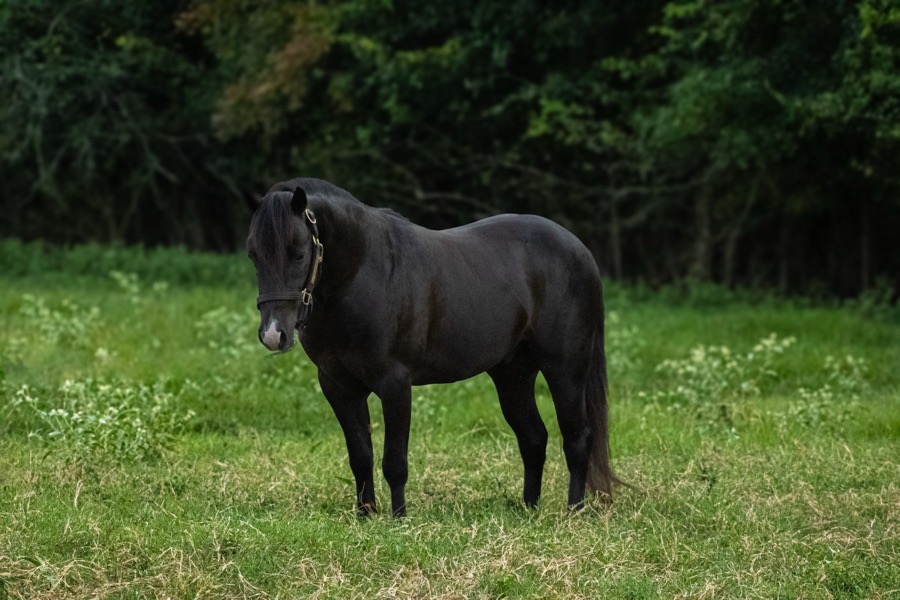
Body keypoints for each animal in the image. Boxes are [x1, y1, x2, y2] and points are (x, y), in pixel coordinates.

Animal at [247, 178, 620, 516]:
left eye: (298, 252)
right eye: (254, 255)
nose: (274, 334)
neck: (365, 272)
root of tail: (578, 249)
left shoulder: (395, 384)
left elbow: (394, 460)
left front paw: (399, 519)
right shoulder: (338, 386)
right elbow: (361, 455)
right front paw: (366, 514)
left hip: (566, 369)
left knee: (577, 437)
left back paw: (574, 511)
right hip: (513, 375)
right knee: (533, 438)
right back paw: (529, 509)